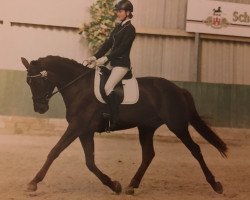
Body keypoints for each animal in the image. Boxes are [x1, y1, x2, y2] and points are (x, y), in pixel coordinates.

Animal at [20, 55, 228, 195]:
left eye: (37, 81)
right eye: (28, 82)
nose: (40, 108)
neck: (78, 88)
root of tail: (178, 89)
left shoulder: (77, 127)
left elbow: (55, 151)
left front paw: (33, 182)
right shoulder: (84, 131)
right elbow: (90, 162)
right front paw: (114, 184)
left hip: (177, 125)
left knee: (195, 150)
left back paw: (216, 184)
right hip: (146, 128)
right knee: (148, 155)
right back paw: (131, 185)